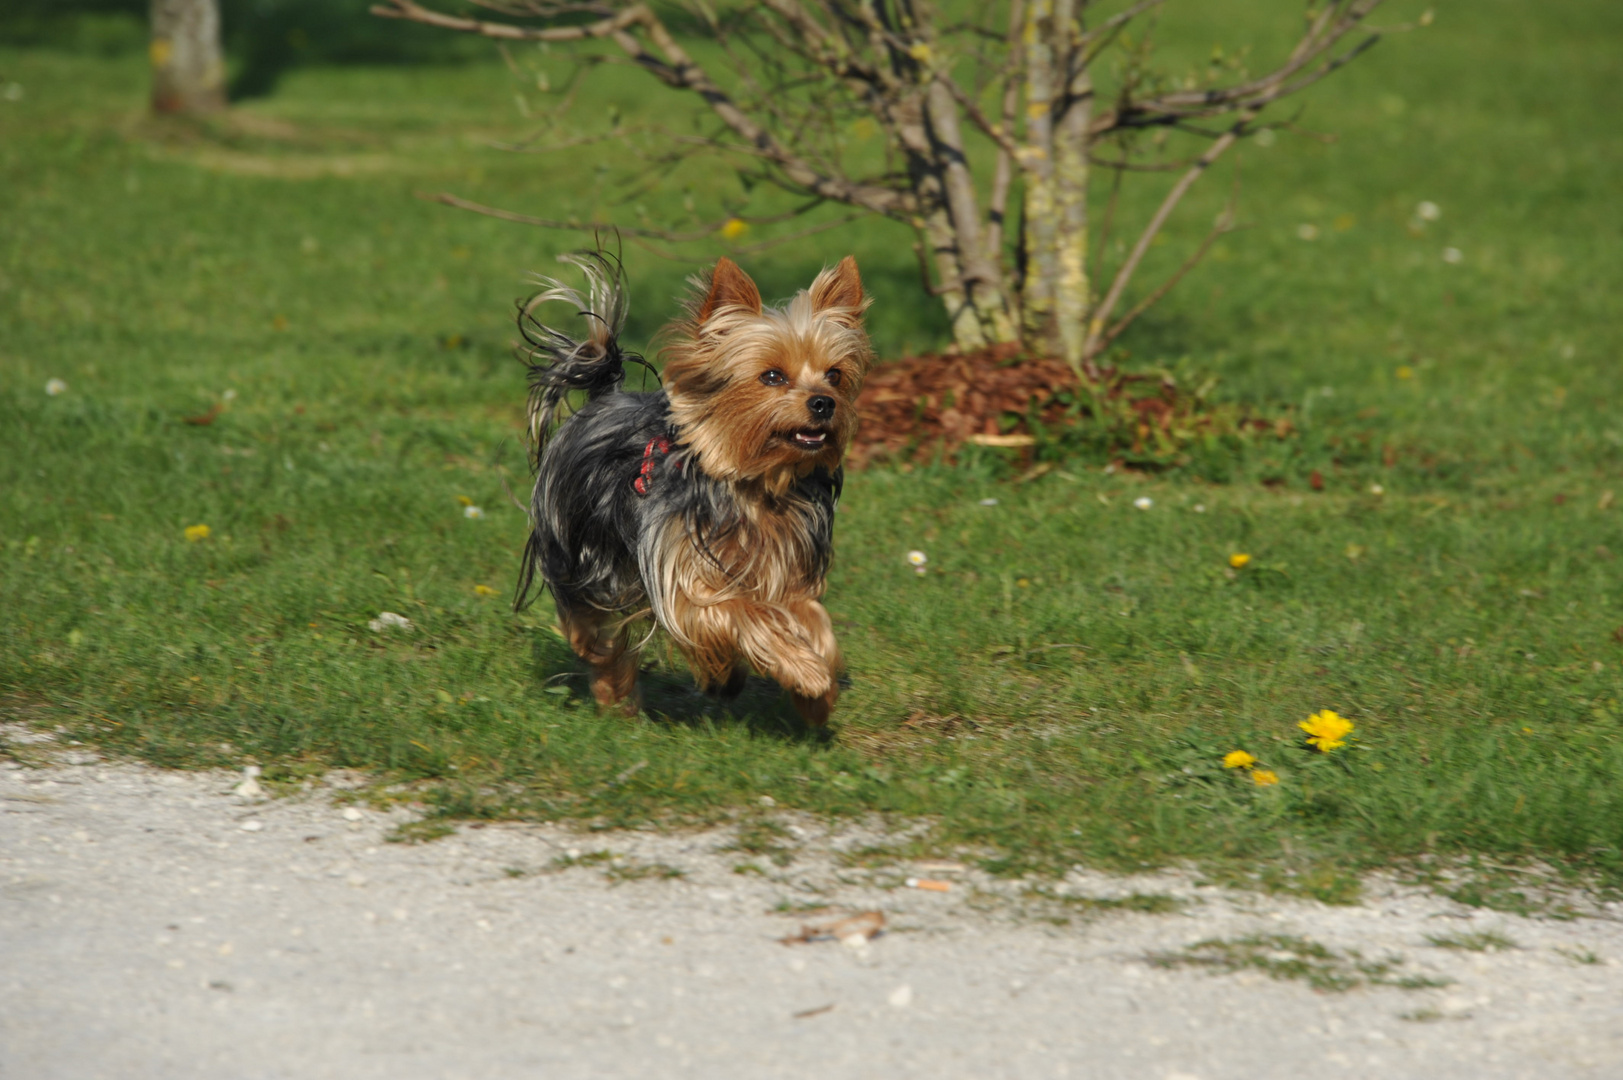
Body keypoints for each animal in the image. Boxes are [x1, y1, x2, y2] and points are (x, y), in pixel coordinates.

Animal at [516, 253, 876, 724]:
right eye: (772, 376)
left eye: (834, 375)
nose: (824, 403)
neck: (755, 487)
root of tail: (603, 397)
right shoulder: (684, 581)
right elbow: (742, 611)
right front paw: (806, 673)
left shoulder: (786, 569)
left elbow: (811, 617)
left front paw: (817, 693)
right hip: (578, 550)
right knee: (596, 632)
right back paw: (615, 693)